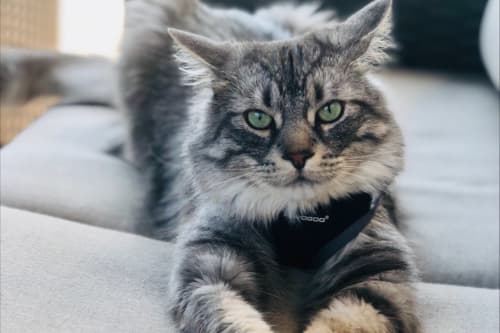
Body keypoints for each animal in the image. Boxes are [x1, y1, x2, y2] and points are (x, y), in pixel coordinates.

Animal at [0, 0, 422, 330]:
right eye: (258, 119)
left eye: (330, 112)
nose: (299, 156)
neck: (296, 220)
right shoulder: (211, 254)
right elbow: (231, 315)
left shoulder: (378, 266)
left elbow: (345, 321)